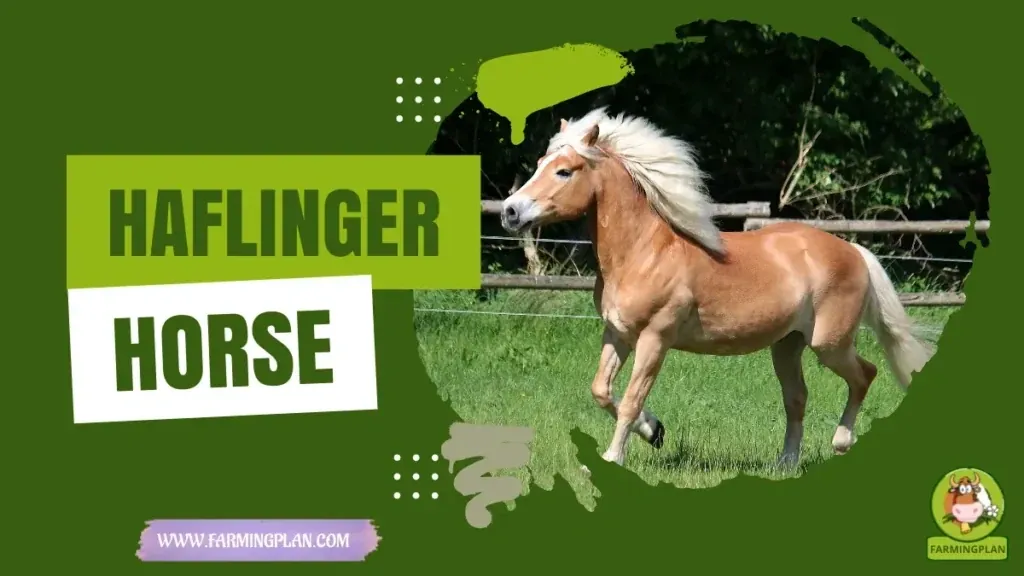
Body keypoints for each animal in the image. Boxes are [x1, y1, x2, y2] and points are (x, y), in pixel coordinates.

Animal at [499, 107, 937, 469]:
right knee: (797, 398)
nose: (510, 211)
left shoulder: (655, 338)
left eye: (564, 171)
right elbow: (602, 391)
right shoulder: (618, 333)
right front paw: (654, 431)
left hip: (829, 344)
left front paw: (611, 458)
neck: (644, 252)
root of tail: (853, 250)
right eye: (539, 164)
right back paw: (785, 463)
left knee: (865, 374)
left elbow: (630, 400)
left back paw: (841, 443)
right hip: (787, 345)